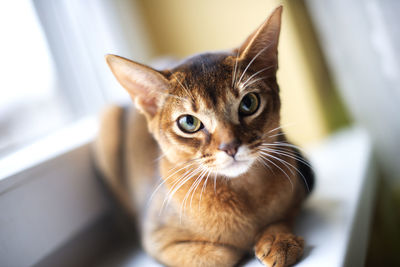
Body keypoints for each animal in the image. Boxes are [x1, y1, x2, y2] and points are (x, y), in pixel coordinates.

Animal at [95, 6, 314, 267]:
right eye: (189, 122)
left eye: (249, 103)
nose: (230, 147)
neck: (242, 194)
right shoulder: (156, 240)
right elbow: (220, 255)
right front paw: (244, 246)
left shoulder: (297, 194)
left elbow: (281, 218)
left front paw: (279, 240)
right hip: (107, 121)